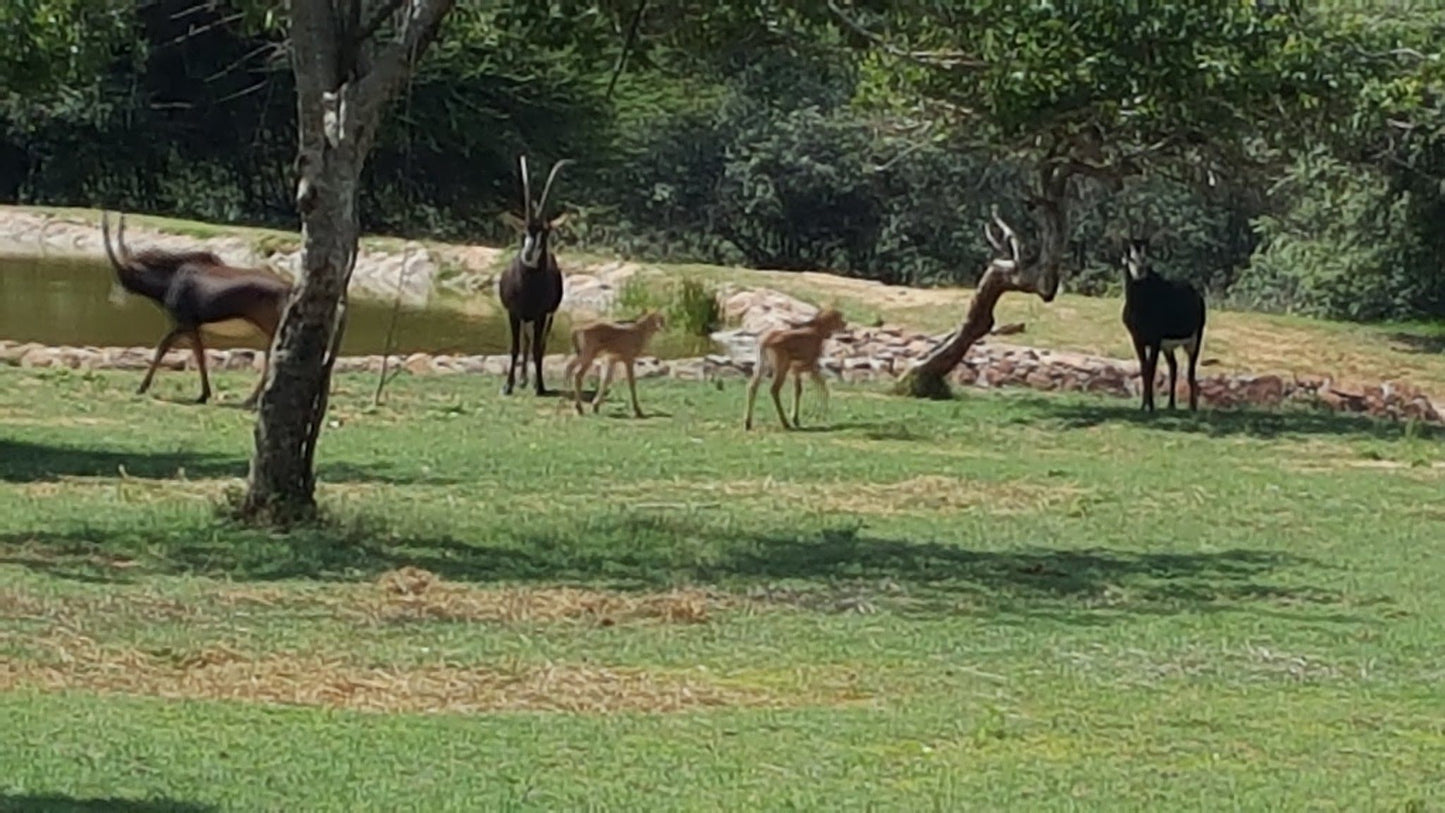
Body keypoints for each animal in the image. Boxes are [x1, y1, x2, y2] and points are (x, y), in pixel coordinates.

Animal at [99, 209, 290, 407]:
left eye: (121, 274)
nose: (114, 300)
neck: (171, 278)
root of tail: (289, 288)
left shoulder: (184, 323)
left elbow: (167, 348)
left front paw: (142, 387)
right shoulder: (192, 326)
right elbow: (198, 353)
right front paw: (204, 394)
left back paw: (251, 401)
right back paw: (251, 400)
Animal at [494, 155, 566, 398]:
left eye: (545, 231)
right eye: (524, 231)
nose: (527, 255)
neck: (529, 287)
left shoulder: (542, 315)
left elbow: (537, 348)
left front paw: (540, 386)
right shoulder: (513, 313)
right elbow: (516, 347)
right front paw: (508, 386)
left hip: (546, 316)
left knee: (539, 345)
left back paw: (533, 381)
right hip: (526, 318)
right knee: (525, 342)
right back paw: (523, 379)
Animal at [1115, 238, 1208, 410]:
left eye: (1145, 257)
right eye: (1130, 257)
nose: (1139, 271)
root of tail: (1198, 296)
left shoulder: (1155, 340)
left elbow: (1151, 369)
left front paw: (1150, 407)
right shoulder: (1137, 339)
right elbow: (1144, 368)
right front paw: (1143, 405)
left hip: (1194, 339)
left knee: (1190, 370)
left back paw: (1192, 407)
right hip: (1168, 347)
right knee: (1174, 366)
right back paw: (1171, 404)